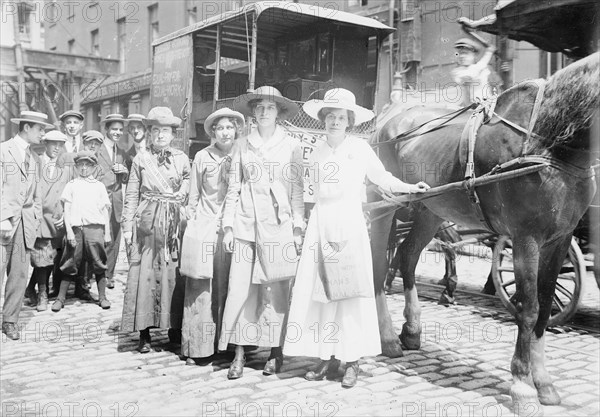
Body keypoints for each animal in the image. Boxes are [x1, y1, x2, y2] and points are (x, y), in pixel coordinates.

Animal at [370, 52, 600, 410]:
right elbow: (529, 308)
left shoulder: (560, 241)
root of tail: (388, 115)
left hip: (429, 209)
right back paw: (388, 337)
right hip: (385, 205)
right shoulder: (525, 240)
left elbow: (546, 305)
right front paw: (522, 384)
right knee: (379, 263)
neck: (545, 144)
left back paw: (412, 329)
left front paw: (543, 382)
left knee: (406, 257)